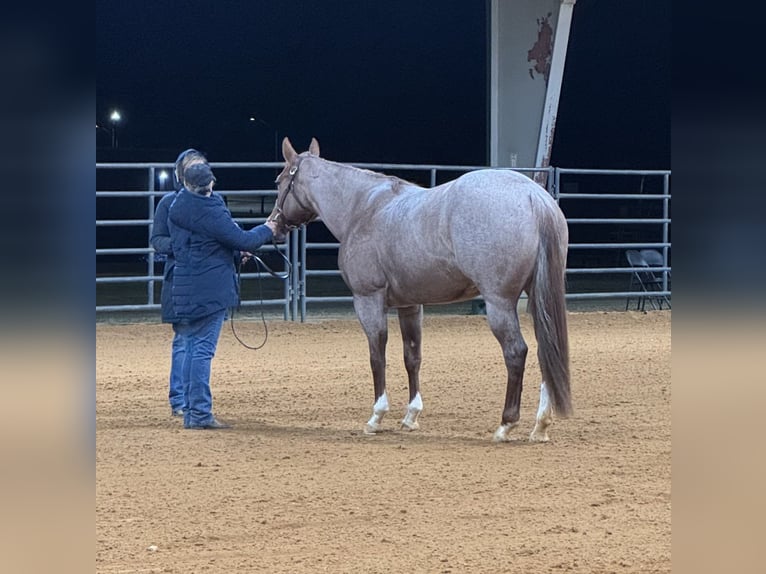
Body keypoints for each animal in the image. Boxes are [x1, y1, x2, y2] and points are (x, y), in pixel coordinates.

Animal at [268, 138, 571, 442]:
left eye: (279, 181)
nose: (275, 225)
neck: (363, 208)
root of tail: (533, 197)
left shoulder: (368, 300)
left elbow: (376, 356)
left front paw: (376, 416)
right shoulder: (410, 305)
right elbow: (412, 356)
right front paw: (411, 416)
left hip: (499, 303)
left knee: (516, 352)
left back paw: (506, 424)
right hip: (536, 300)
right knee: (546, 351)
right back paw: (540, 425)